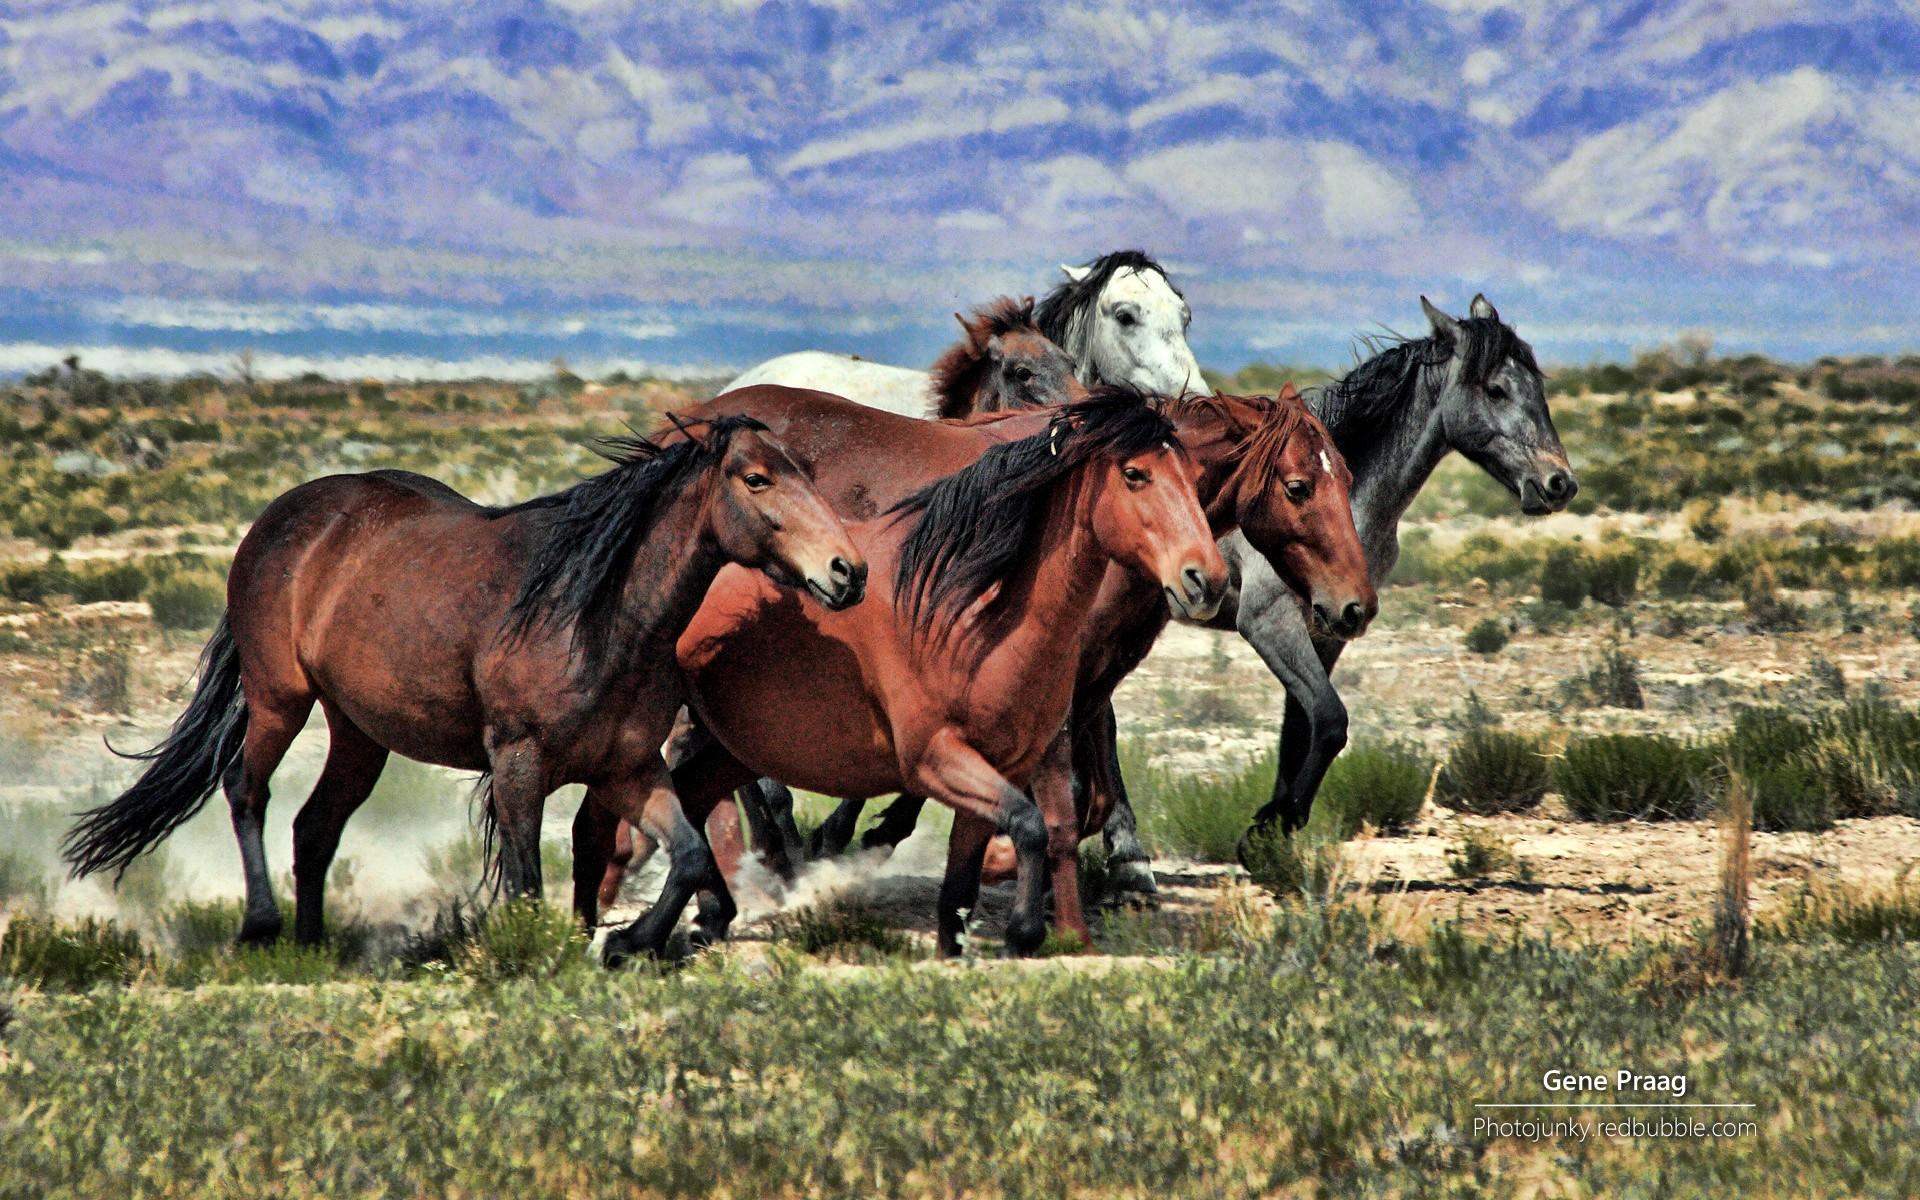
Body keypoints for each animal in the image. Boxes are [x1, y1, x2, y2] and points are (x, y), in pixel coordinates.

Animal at [67, 414, 864, 956]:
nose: (847, 570)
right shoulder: (519, 763)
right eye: (757, 479)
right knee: (245, 790)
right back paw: (262, 927)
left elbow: (691, 854)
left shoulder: (629, 768)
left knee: (315, 825)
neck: (596, 615)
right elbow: (526, 880)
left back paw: (313, 943)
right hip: (278, 700)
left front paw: (628, 941)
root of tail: (282, 519)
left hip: (359, 734)